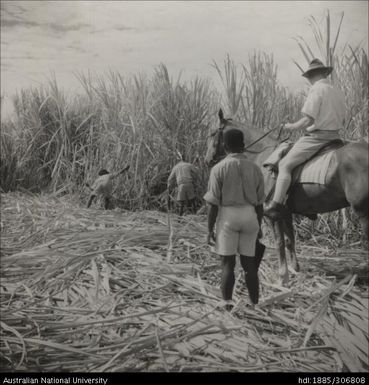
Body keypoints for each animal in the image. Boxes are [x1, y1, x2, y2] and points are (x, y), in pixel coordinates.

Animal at [204, 109, 368, 284]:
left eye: (212, 133)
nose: (207, 160)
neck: (263, 153)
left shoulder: (272, 216)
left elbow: (279, 242)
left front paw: (283, 276)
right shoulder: (286, 212)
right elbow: (290, 241)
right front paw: (295, 268)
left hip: (363, 213)